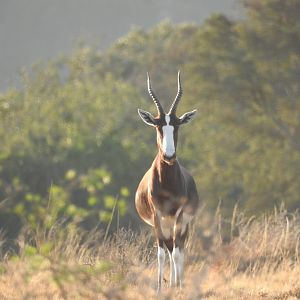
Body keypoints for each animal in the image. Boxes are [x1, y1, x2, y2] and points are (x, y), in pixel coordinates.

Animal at [135, 71, 198, 292]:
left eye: (176, 125)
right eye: (158, 126)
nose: (169, 156)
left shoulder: (179, 215)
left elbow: (178, 252)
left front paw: (178, 286)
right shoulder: (157, 216)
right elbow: (161, 252)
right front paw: (160, 288)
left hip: (181, 224)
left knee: (179, 248)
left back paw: (178, 283)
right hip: (166, 223)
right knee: (170, 248)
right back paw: (171, 283)